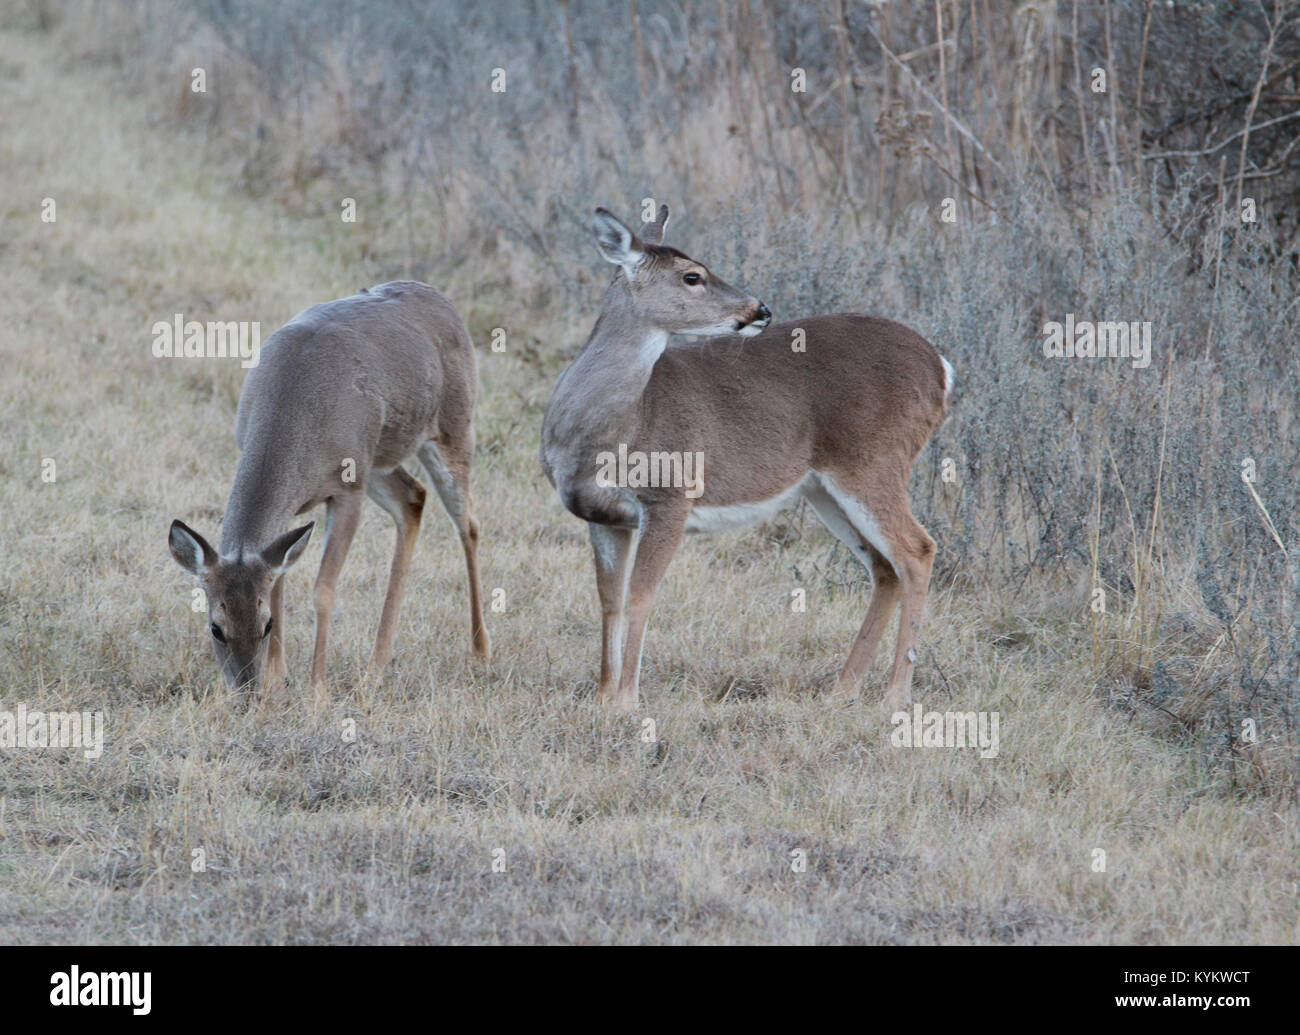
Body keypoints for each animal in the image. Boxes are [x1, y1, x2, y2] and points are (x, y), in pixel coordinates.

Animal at [163, 280, 488, 702]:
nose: (247, 694)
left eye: (265, 625)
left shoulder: (347, 490)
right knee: (413, 497)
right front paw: (278, 678)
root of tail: (440, 298)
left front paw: (317, 690)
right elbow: (281, 581)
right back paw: (376, 667)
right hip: (378, 459)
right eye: (216, 628)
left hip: (453, 428)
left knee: (468, 524)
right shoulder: (296, 506)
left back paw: (479, 652)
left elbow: (323, 589)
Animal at [538, 206, 956, 717]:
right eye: (692, 275)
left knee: (917, 550)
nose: (761, 310)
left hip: (873, 461)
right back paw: (842, 690)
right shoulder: (602, 515)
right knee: (884, 566)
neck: (615, 430)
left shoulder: (672, 495)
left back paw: (895, 695)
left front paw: (627, 702)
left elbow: (641, 595)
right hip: (826, 488)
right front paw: (602, 697)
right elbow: (609, 599)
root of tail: (941, 369)